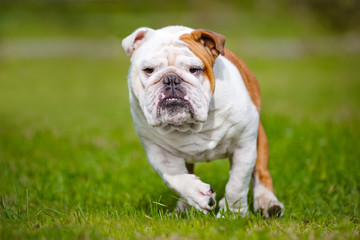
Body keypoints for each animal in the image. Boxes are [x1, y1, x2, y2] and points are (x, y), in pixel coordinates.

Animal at [121, 26, 284, 218]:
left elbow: (237, 183)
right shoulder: (159, 152)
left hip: (260, 139)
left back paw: (268, 202)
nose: (171, 79)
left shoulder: (243, 145)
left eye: (194, 69)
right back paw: (184, 209)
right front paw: (198, 194)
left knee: (261, 173)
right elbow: (175, 178)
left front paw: (232, 214)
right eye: (148, 70)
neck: (190, 125)